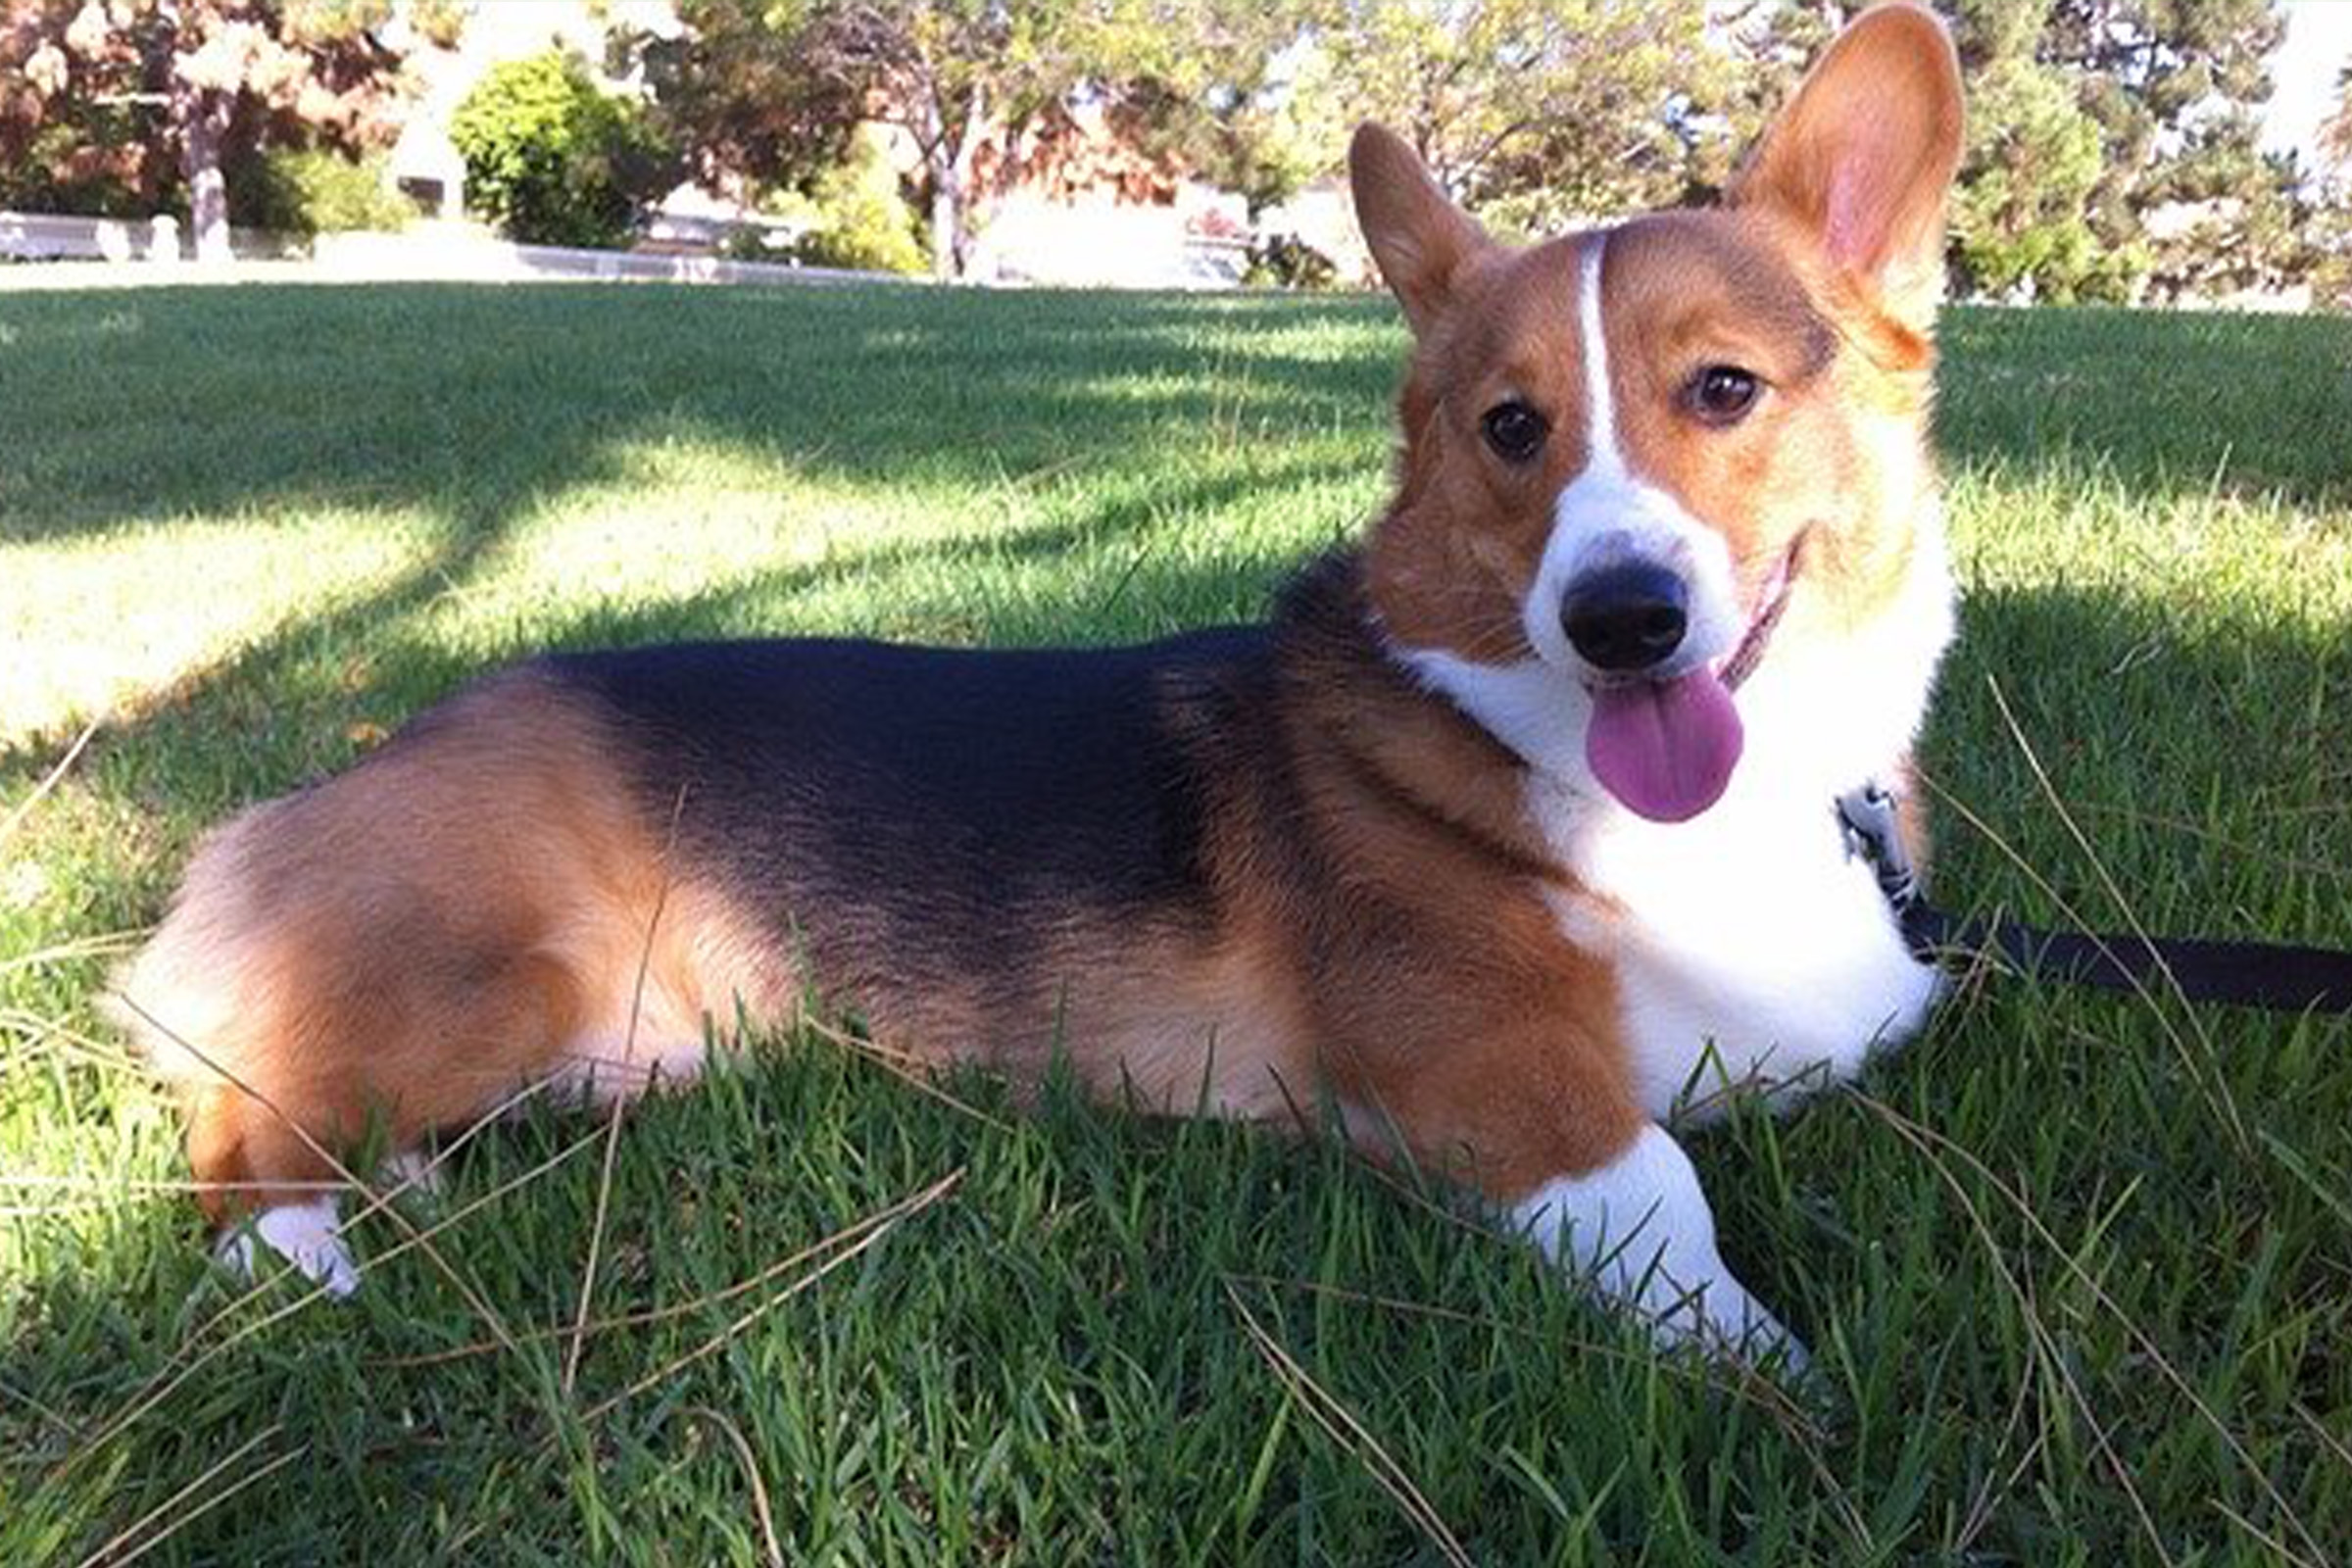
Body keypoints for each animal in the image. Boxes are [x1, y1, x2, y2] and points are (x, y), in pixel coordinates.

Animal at [110, 3, 1966, 1363]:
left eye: (1723, 389)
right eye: (1512, 428)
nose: (1621, 618)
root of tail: (297, 805)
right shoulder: (1489, 1081)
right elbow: (1660, 1190)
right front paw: (1777, 1380)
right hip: (485, 981)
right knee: (245, 1130)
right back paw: (312, 1266)